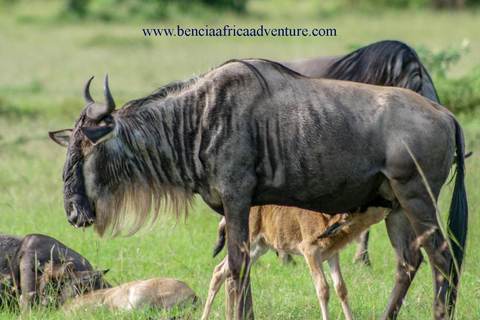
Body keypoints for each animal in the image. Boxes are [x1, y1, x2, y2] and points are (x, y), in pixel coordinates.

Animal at [200, 205, 390, 320]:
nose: (389, 205)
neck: (326, 219)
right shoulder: (311, 252)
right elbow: (323, 289)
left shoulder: (332, 255)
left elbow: (341, 288)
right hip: (248, 245)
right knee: (219, 272)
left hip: (258, 249)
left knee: (228, 273)